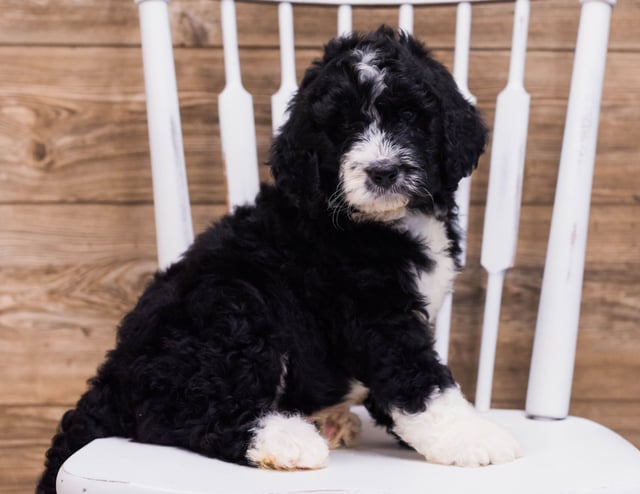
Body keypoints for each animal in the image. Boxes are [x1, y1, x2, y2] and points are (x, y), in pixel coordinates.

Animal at [36, 28, 520, 494]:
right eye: (342, 128)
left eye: (407, 117)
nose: (382, 171)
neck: (386, 221)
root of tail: (113, 374)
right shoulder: (372, 310)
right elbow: (419, 376)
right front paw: (471, 437)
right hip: (230, 305)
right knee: (183, 411)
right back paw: (286, 439)